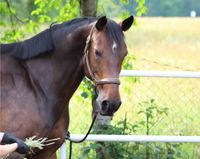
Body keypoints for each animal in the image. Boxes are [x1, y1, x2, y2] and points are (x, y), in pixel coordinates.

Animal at [0, 15, 134, 158]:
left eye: (124, 54)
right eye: (97, 52)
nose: (111, 103)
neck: (34, 84)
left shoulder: (47, 152)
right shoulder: (15, 151)